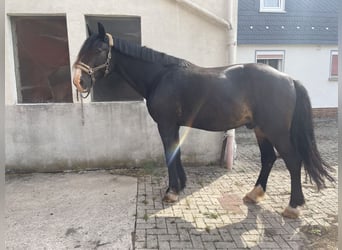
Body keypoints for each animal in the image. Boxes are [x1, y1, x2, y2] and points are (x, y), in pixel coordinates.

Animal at [73, 23, 334, 219]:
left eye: (98, 49)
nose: (78, 81)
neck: (160, 76)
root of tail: (289, 79)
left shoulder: (166, 125)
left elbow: (170, 155)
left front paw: (171, 191)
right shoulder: (174, 126)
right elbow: (176, 153)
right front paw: (180, 185)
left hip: (276, 131)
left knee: (293, 161)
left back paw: (293, 206)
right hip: (260, 129)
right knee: (269, 158)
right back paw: (254, 194)